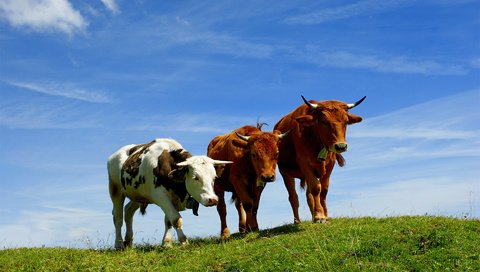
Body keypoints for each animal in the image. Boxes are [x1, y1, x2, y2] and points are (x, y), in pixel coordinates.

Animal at [276, 95, 366, 223]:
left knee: (309, 196)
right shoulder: (305, 163)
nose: (341, 146)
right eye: (324, 121)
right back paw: (297, 221)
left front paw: (325, 215)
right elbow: (316, 188)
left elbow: (323, 190)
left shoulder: (329, 165)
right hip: (285, 173)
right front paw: (319, 216)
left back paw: (313, 216)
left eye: (346, 122)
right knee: (293, 197)